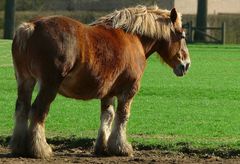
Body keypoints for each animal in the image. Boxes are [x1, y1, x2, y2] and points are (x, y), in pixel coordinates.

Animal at [10, 5, 191, 158]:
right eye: (182, 35)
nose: (186, 64)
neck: (134, 38)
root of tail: (32, 26)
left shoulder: (108, 92)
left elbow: (108, 116)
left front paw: (103, 147)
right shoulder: (129, 90)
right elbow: (123, 115)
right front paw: (121, 147)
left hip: (25, 81)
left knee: (22, 108)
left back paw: (19, 146)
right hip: (49, 84)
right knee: (38, 111)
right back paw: (40, 149)